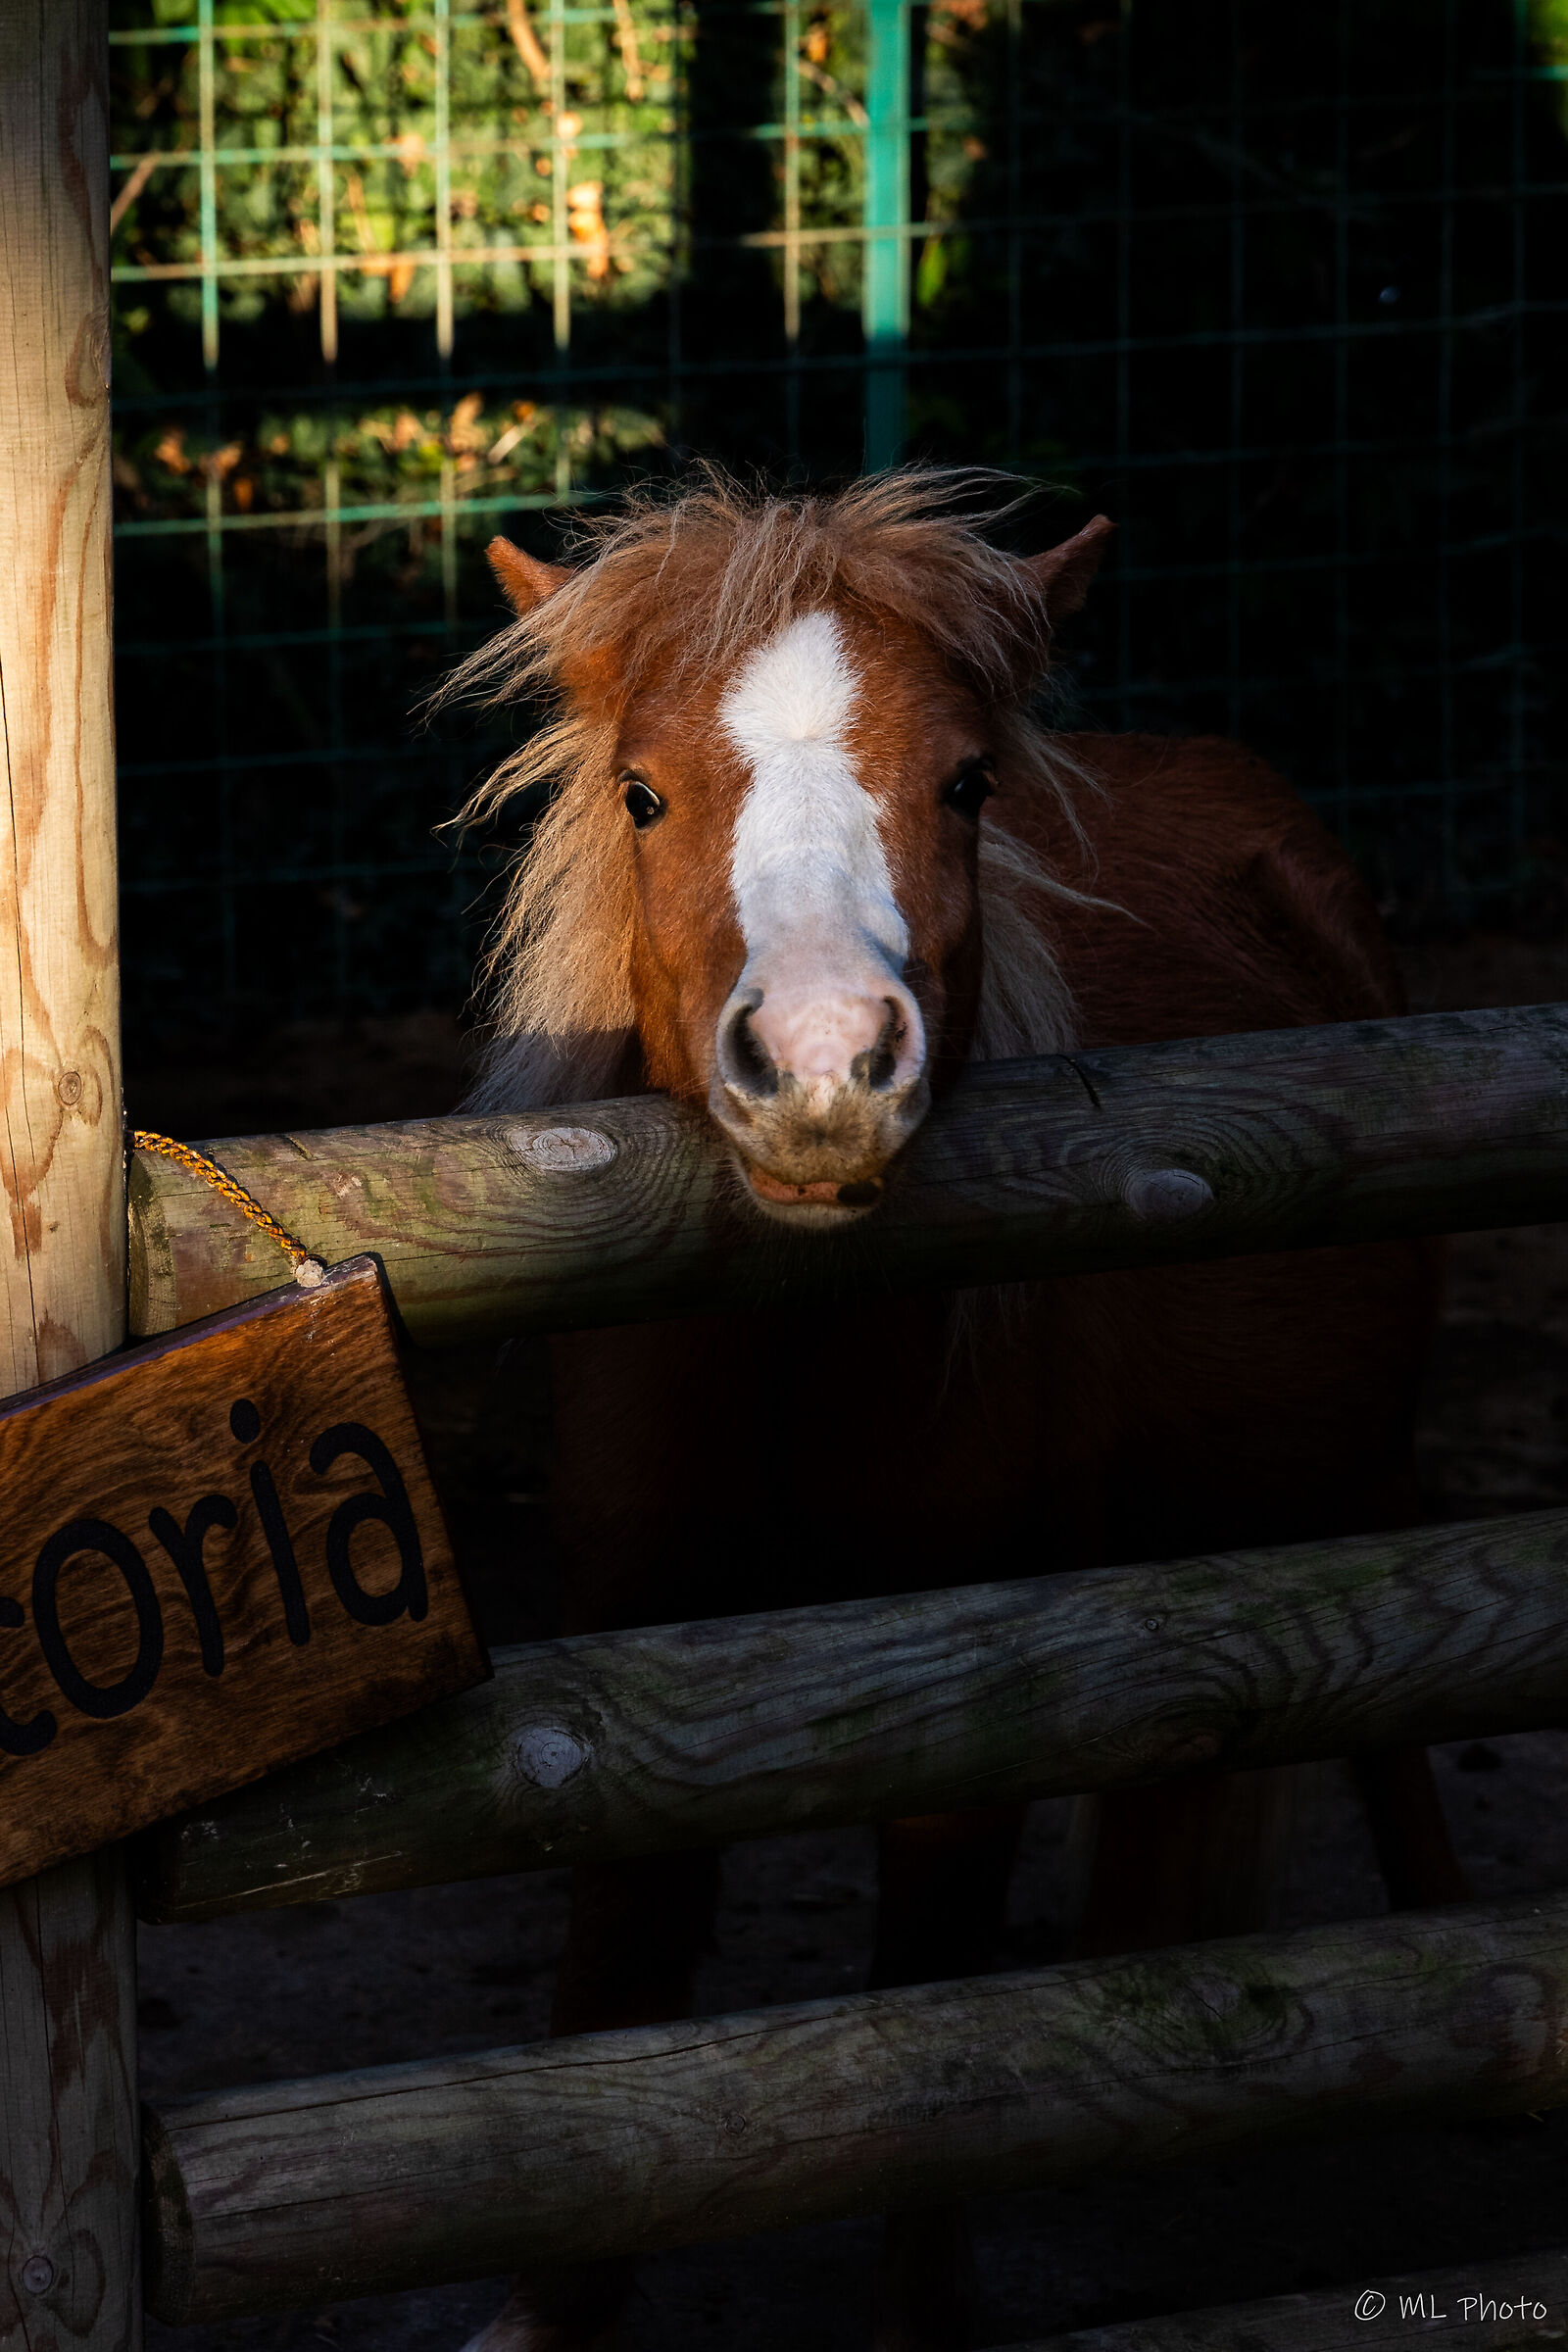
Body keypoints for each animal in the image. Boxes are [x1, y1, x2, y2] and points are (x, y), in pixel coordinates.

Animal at [445, 471, 1460, 2352]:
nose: (826, 1068)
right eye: (642, 792)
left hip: (1356, 1480)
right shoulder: (625, 1697)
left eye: (968, 786)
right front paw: (552, 2311)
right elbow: (617, 1977)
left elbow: (932, 2038)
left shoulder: (968, 1721)